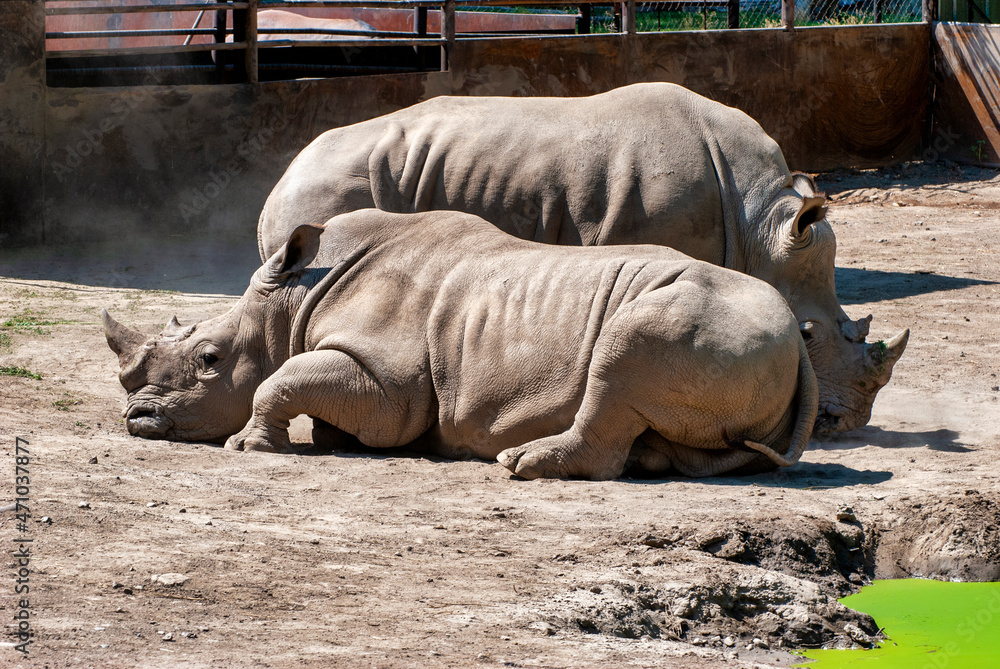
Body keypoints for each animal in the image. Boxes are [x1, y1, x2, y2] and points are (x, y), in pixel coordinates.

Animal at [104, 210, 817, 480]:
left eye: (209, 361)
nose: (136, 418)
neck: (289, 300)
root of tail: (799, 338)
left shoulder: (388, 383)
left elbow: (286, 380)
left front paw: (251, 446)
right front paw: (332, 437)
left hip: (704, 318)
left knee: (622, 355)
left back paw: (519, 464)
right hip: (743, 334)